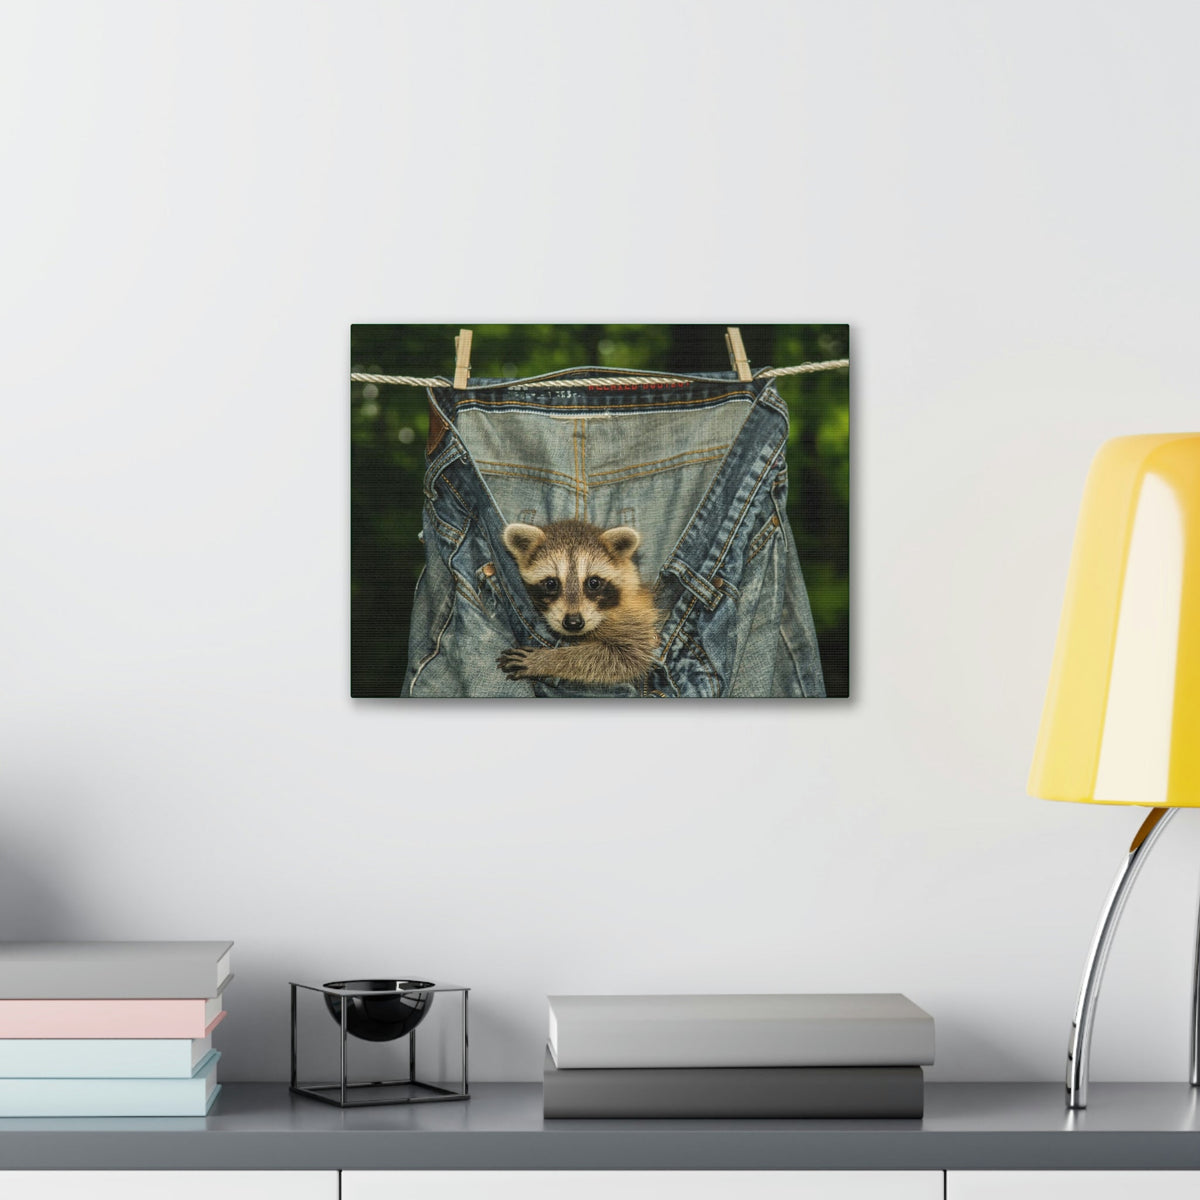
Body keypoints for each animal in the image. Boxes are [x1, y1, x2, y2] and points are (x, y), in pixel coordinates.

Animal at [497, 519, 663, 687]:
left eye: (594, 583)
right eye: (551, 584)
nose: (573, 623)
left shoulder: (634, 617)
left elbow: (627, 656)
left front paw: (546, 660)